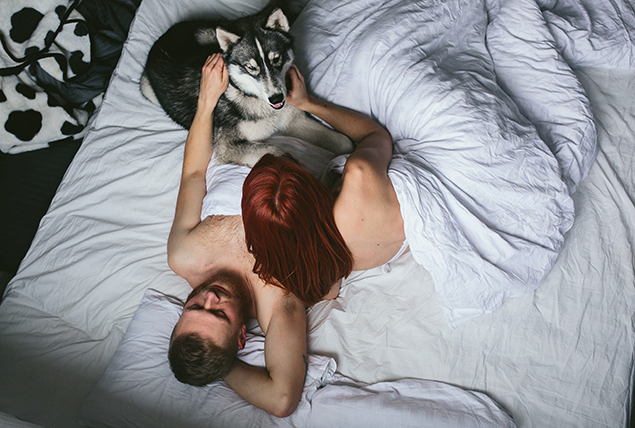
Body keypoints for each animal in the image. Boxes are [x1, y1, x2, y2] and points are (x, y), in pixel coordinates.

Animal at [140, 4, 356, 166]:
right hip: (146, 88)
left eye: (277, 59)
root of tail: (164, 37)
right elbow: (276, 150)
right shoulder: (228, 146)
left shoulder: (293, 120)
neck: (252, 97)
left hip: (212, 33)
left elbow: (343, 142)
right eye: (251, 68)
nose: (277, 98)